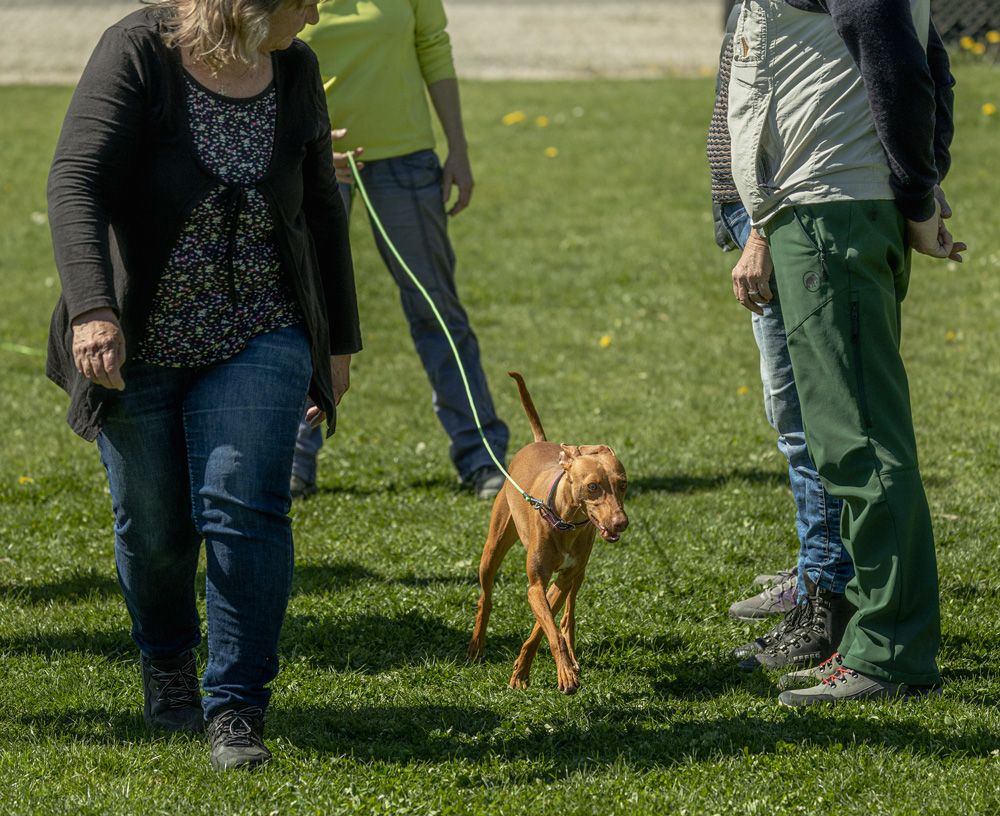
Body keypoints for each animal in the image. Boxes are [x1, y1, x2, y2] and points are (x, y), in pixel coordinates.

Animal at [467, 372, 628, 694]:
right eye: (593, 486)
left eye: (623, 484)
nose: (621, 522)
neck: (565, 522)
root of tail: (537, 442)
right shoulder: (535, 585)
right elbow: (548, 630)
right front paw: (561, 673)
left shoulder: (563, 579)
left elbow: (544, 628)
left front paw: (524, 670)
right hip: (492, 551)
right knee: (485, 598)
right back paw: (477, 646)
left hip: (579, 576)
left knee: (568, 615)